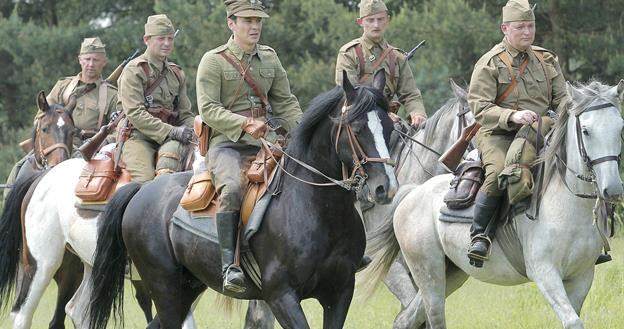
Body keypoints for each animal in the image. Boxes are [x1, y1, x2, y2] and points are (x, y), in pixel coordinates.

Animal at [87, 70, 398, 328]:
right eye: (356, 129)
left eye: (390, 129)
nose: (386, 187)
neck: (319, 210)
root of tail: (142, 190)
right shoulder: (281, 296)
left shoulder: (340, 294)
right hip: (165, 289)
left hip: (188, 288)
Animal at [364, 79, 624, 328]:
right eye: (586, 130)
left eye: (620, 128)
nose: (612, 189)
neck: (567, 205)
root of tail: (412, 193)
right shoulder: (545, 274)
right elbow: (572, 321)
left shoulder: (582, 277)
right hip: (429, 274)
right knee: (432, 318)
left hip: (452, 273)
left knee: (406, 319)